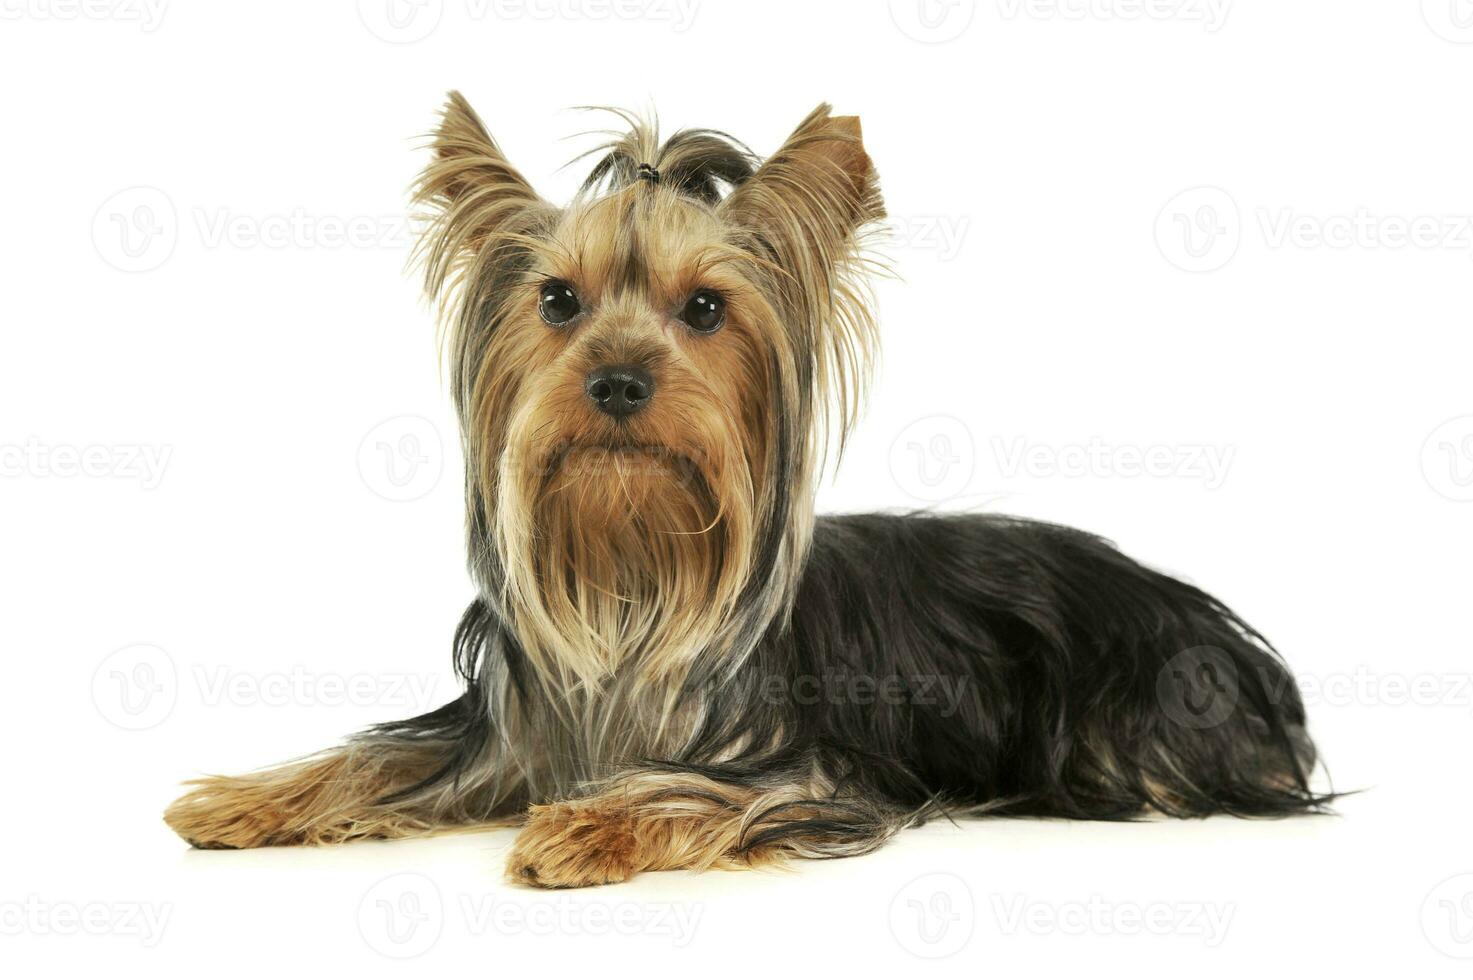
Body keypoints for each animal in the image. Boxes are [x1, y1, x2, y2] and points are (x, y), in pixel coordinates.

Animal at [164, 93, 1337, 884]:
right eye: (557, 300)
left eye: (707, 309)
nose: (618, 379)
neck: (633, 569)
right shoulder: (503, 731)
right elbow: (381, 755)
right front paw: (240, 799)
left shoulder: (812, 777)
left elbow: (699, 789)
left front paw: (588, 823)